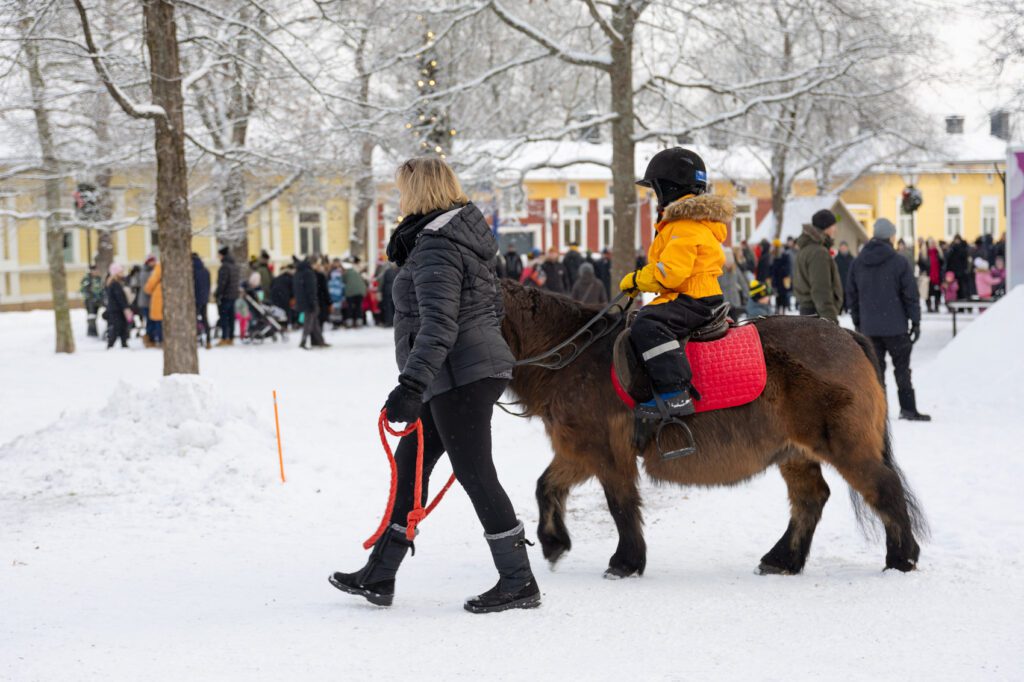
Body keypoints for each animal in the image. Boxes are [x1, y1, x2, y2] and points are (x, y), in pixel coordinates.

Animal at [499, 280, 925, 573]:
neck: (575, 358)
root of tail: (846, 336)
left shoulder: (605, 453)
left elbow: (620, 505)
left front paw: (626, 561)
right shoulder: (578, 450)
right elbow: (546, 487)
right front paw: (553, 542)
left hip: (846, 446)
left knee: (884, 488)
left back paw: (901, 558)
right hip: (795, 452)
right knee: (810, 499)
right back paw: (783, 559)